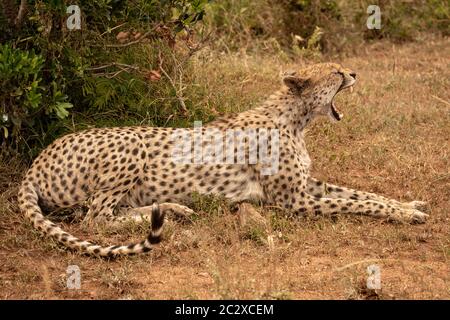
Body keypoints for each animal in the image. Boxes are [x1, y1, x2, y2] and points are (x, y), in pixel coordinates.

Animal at [17, 62, 428, 258]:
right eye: (335, 72)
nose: (354, 73)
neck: (296, 119)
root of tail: (36, 162)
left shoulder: (307, 185)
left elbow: (363, 195)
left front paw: (410, 204)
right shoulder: (295, 201)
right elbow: (355, 203)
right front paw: (406, 215)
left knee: (111, 213)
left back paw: (175, 210)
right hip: (132, 141)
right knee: (95, 219)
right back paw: (171, 213)